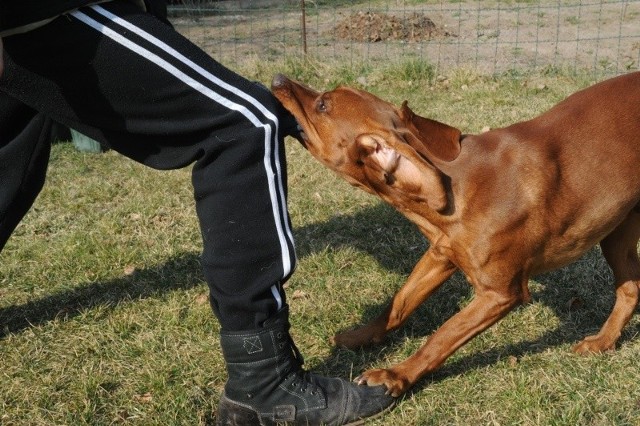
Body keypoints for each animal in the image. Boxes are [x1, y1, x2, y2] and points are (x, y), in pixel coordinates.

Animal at [270, 70, 640, 396]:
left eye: (323, 104)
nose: (276, 79)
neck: (455, 187)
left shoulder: (499, 294)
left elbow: (442, 338)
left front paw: (395, 375)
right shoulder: (440, 255)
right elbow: (399, 303)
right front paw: (362, 337)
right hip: (617, 235)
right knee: (630, 289)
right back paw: (604, 341)